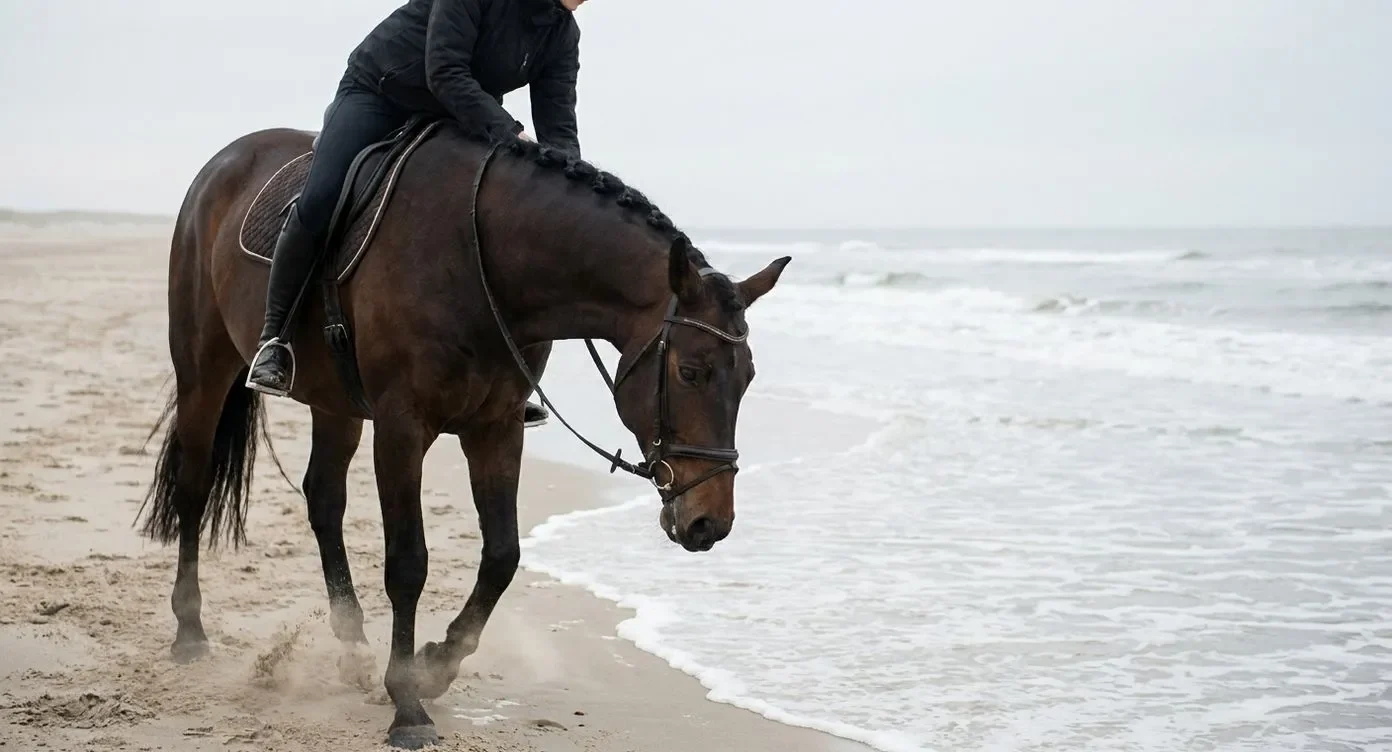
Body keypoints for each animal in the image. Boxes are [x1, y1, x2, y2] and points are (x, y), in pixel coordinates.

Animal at [137, 120, 790, 749]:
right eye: (691, 371)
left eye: (749, 378)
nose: (710, 522)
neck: (484, 263)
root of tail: (226, 160)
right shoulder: (402, 428)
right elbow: (408, 563)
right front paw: (407, 707)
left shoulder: (495, 428)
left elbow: (502, 555)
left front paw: (434, 667)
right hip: (205, 367)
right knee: (194, 483)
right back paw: (190, 632)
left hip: (336, 404)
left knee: (323, 497)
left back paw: (352, 649)